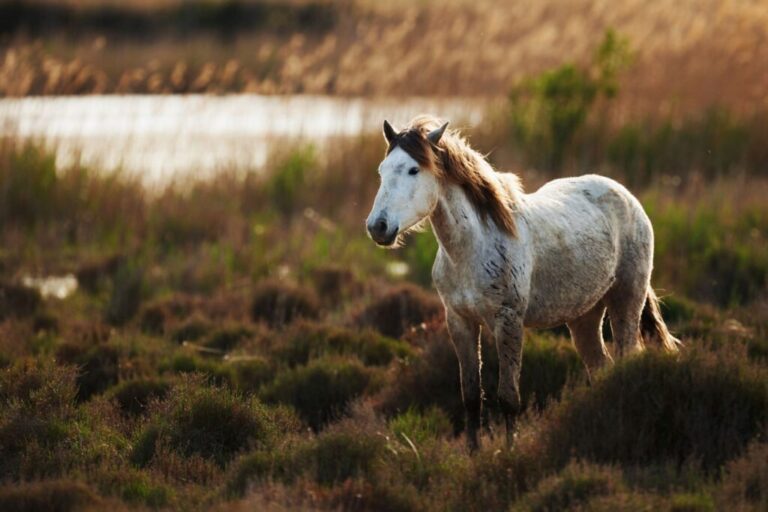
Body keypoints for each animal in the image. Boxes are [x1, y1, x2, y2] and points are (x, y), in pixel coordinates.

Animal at [366, 115, 680, 448]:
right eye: (382, 171)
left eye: (414, 170)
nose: (378, 227)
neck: (474, 246)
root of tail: (627, 196)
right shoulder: (460, 321)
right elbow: (471, 397)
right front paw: (473, 453)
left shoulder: (509, 321)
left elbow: (509, 397)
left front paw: (509, 452)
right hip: (584, 316)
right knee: (600, 367)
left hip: (626, 301)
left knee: (626, 359)